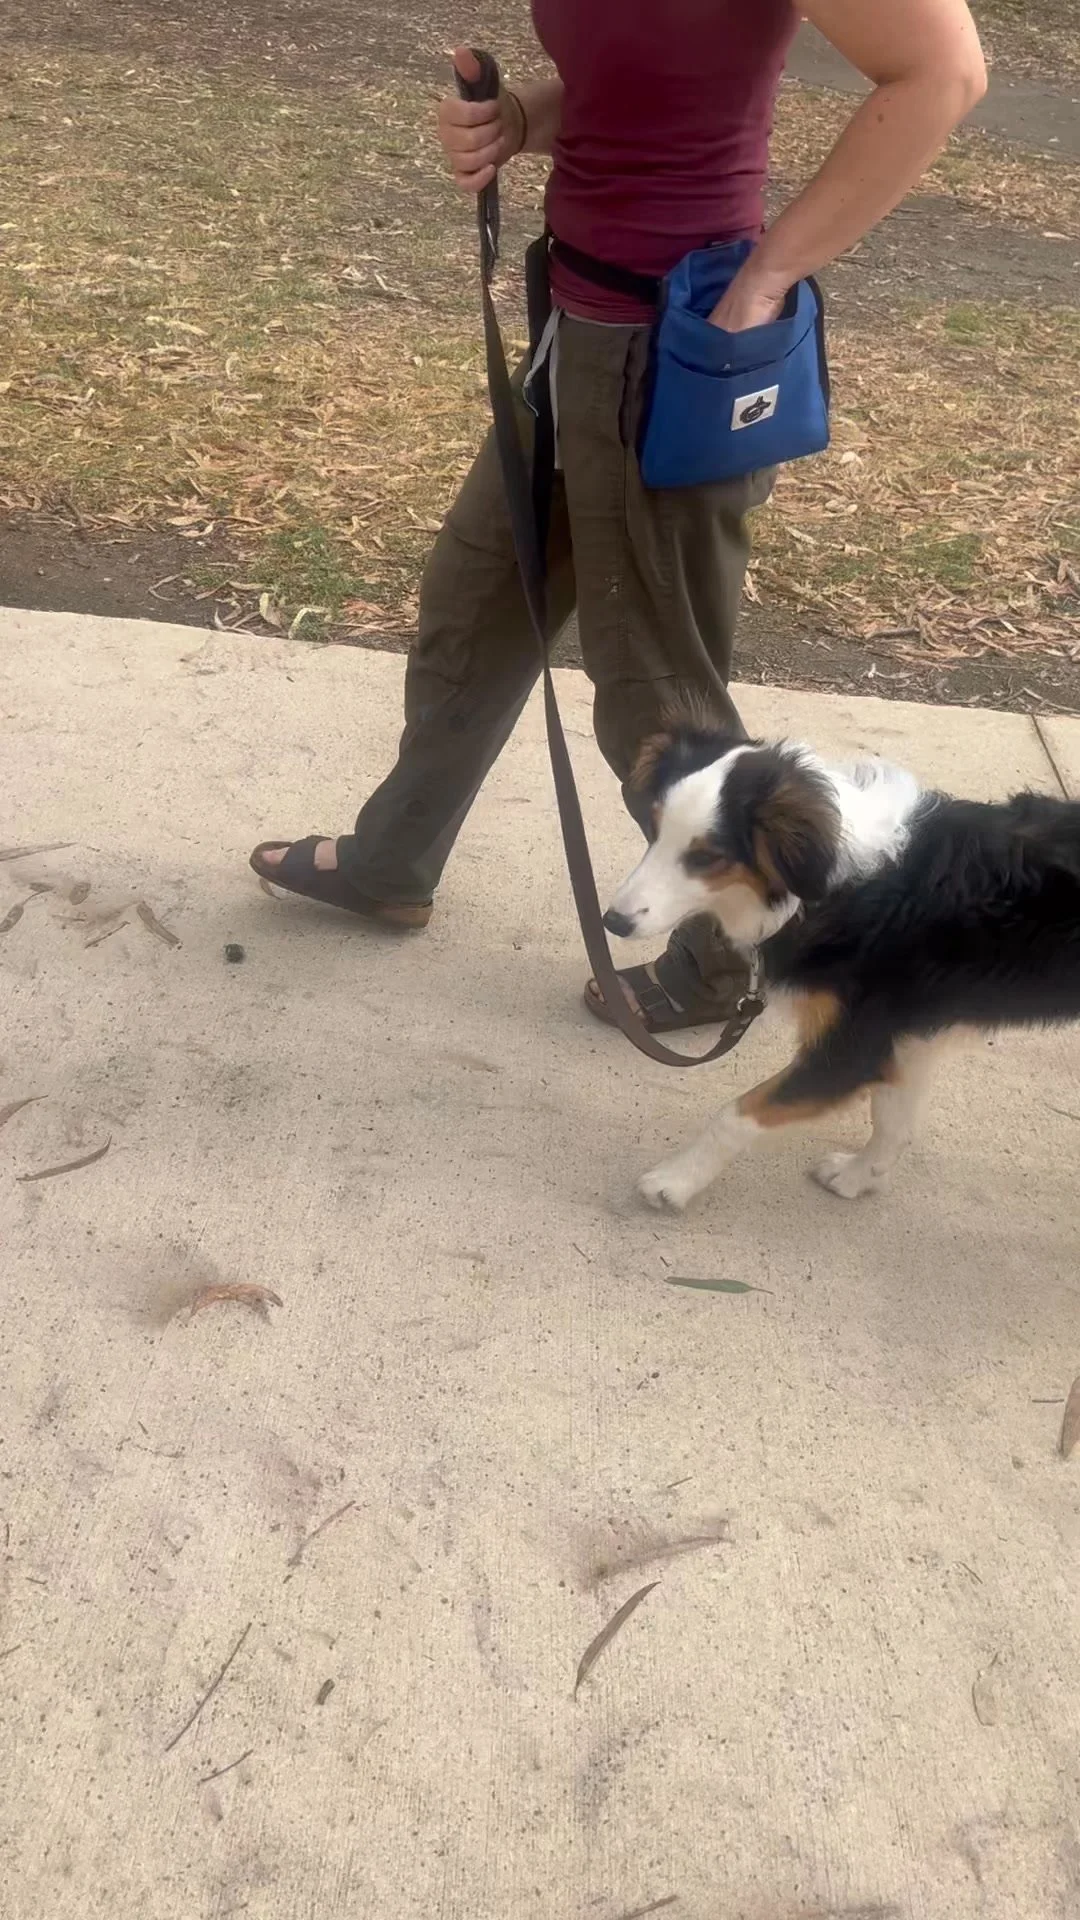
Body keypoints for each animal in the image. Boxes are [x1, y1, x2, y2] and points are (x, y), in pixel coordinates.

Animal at [603, 718, 1080, 1210]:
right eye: (653, 828)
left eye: (706, 857)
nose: (612, 921)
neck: (832, 881)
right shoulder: (903, 1039)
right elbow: (893, 1119)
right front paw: (858, 1176)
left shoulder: (849, 1049)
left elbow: (734, 1116)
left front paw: (674, 1181)